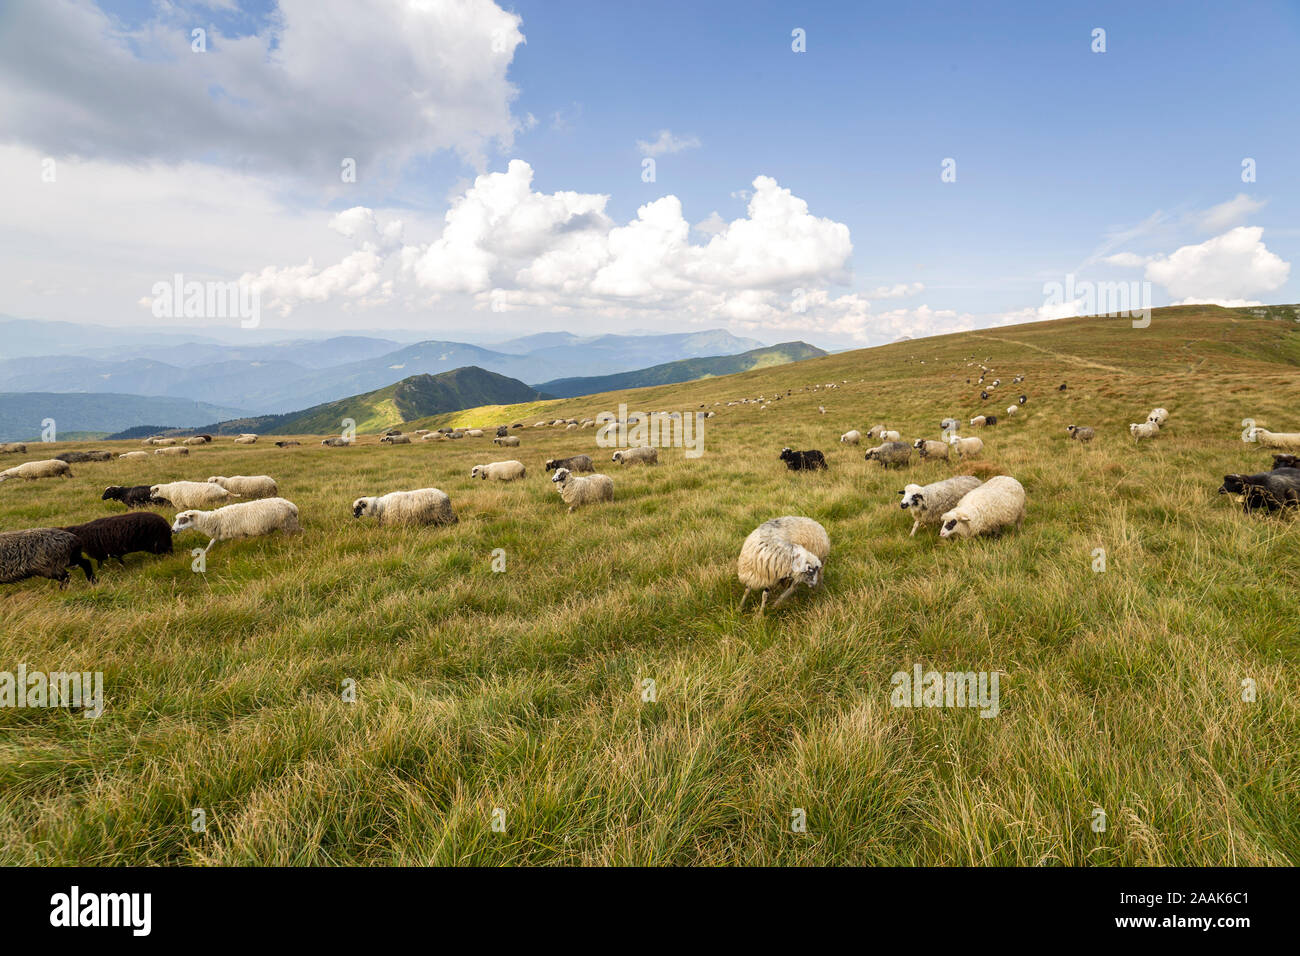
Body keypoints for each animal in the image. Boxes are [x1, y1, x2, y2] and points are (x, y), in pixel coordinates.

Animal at [171, 497, 300, 553]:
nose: (172, 530)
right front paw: (205, 552)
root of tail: (293, 506)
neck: (214, 519)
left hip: (288, 524)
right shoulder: (219, 533)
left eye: (183, 520)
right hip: (288, 524)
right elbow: (211, 542)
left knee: (298, 532)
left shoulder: (240, 534)